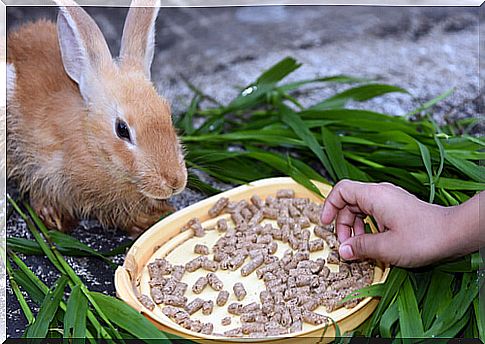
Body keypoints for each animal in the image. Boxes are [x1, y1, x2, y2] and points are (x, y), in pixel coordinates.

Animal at [6, 0, 186, 236]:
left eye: (168, 114)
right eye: (122, 129)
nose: (174, 182)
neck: (90, 143)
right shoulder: (40, 166)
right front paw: (56, 221)